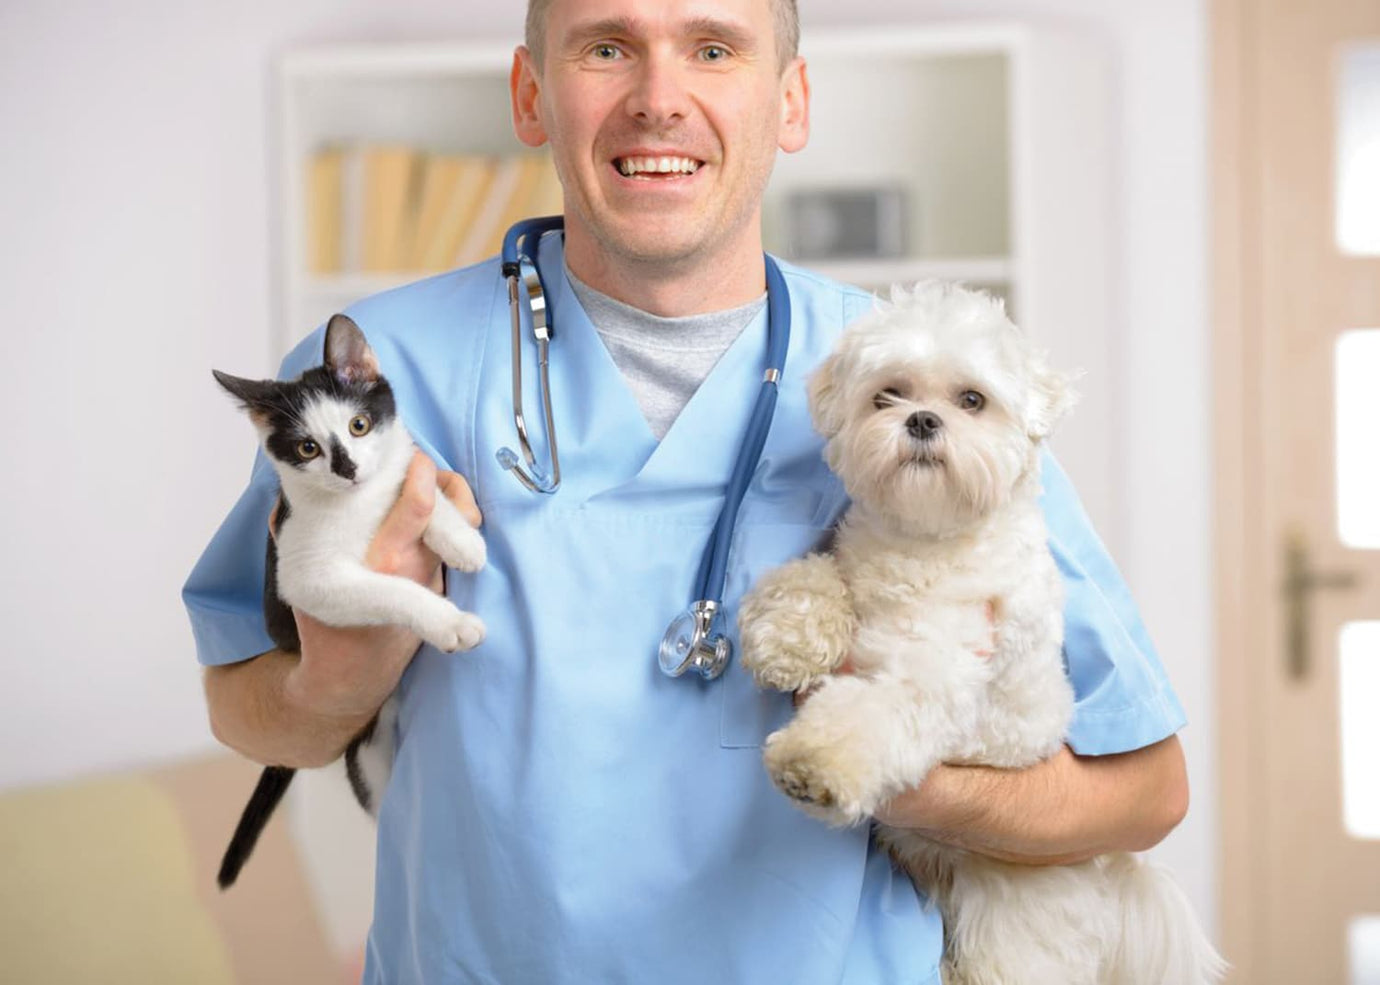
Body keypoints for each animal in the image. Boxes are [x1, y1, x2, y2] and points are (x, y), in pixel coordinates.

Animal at [204, 314, 485, 888]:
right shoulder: (305, 576)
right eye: (308, 449)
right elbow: (390, 589)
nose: (350, 469)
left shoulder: (406, 468)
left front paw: (458, 538)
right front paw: (448, 622)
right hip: (369, 760)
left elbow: (423, 490)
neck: (360, 503)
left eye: (359, 425)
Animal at [739, 284, 1225, 982]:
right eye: (888, 394)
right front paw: (786, 636)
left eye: (971, 400)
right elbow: (813, 576)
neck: (923, 542)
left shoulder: (939, 673)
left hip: (1015, 915)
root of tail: (1107, 869)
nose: (921, 421)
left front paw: (814, 763)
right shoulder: (850, 562)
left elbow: (870, 714)